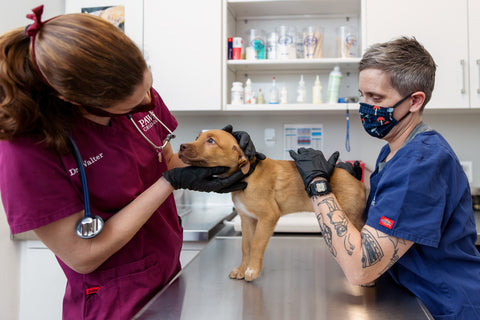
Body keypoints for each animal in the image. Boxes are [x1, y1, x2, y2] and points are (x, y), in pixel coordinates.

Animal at [178, 129, 366, 282]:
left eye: (211, 141)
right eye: (197, 137)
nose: (181, 146)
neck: (247, 176)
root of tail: (355, 179)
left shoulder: (268, 216)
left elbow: (256, 244)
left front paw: (252, 270)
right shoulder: (247, 219)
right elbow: (246, 246)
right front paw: (242, 269)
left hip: (352, 218)